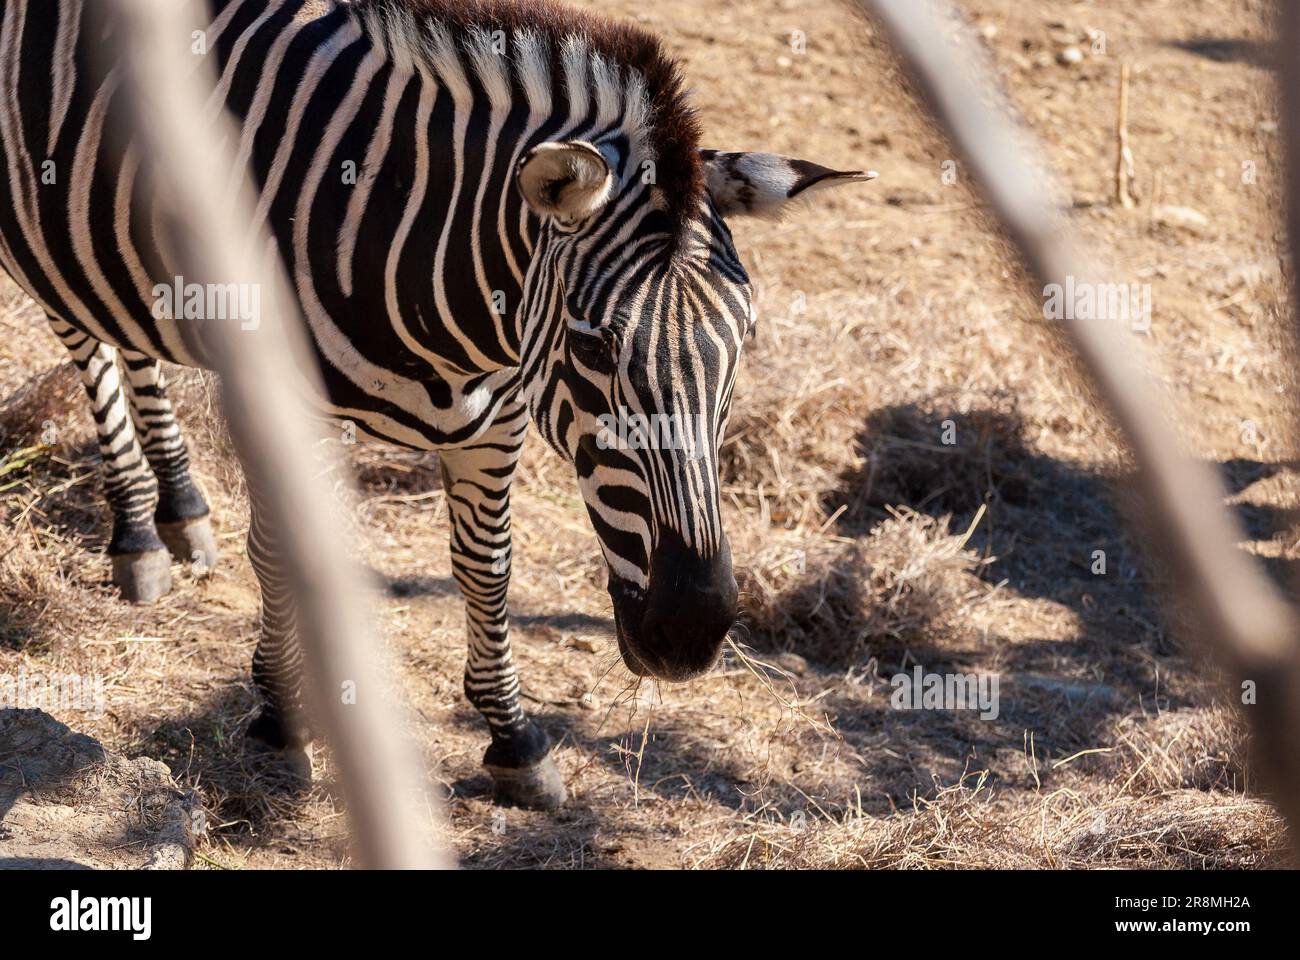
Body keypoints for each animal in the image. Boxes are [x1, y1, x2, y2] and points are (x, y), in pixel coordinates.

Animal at [2, 0, 873, 806]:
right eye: (593, 350)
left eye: (743, 347)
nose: (691, 634)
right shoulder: (290, 403)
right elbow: (284, 554)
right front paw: (282, 722)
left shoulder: (500, 415)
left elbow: (487, 569)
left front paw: (514, 740)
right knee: (82, 336)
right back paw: (137, 535)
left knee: (121, 329)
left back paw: (179, 509)